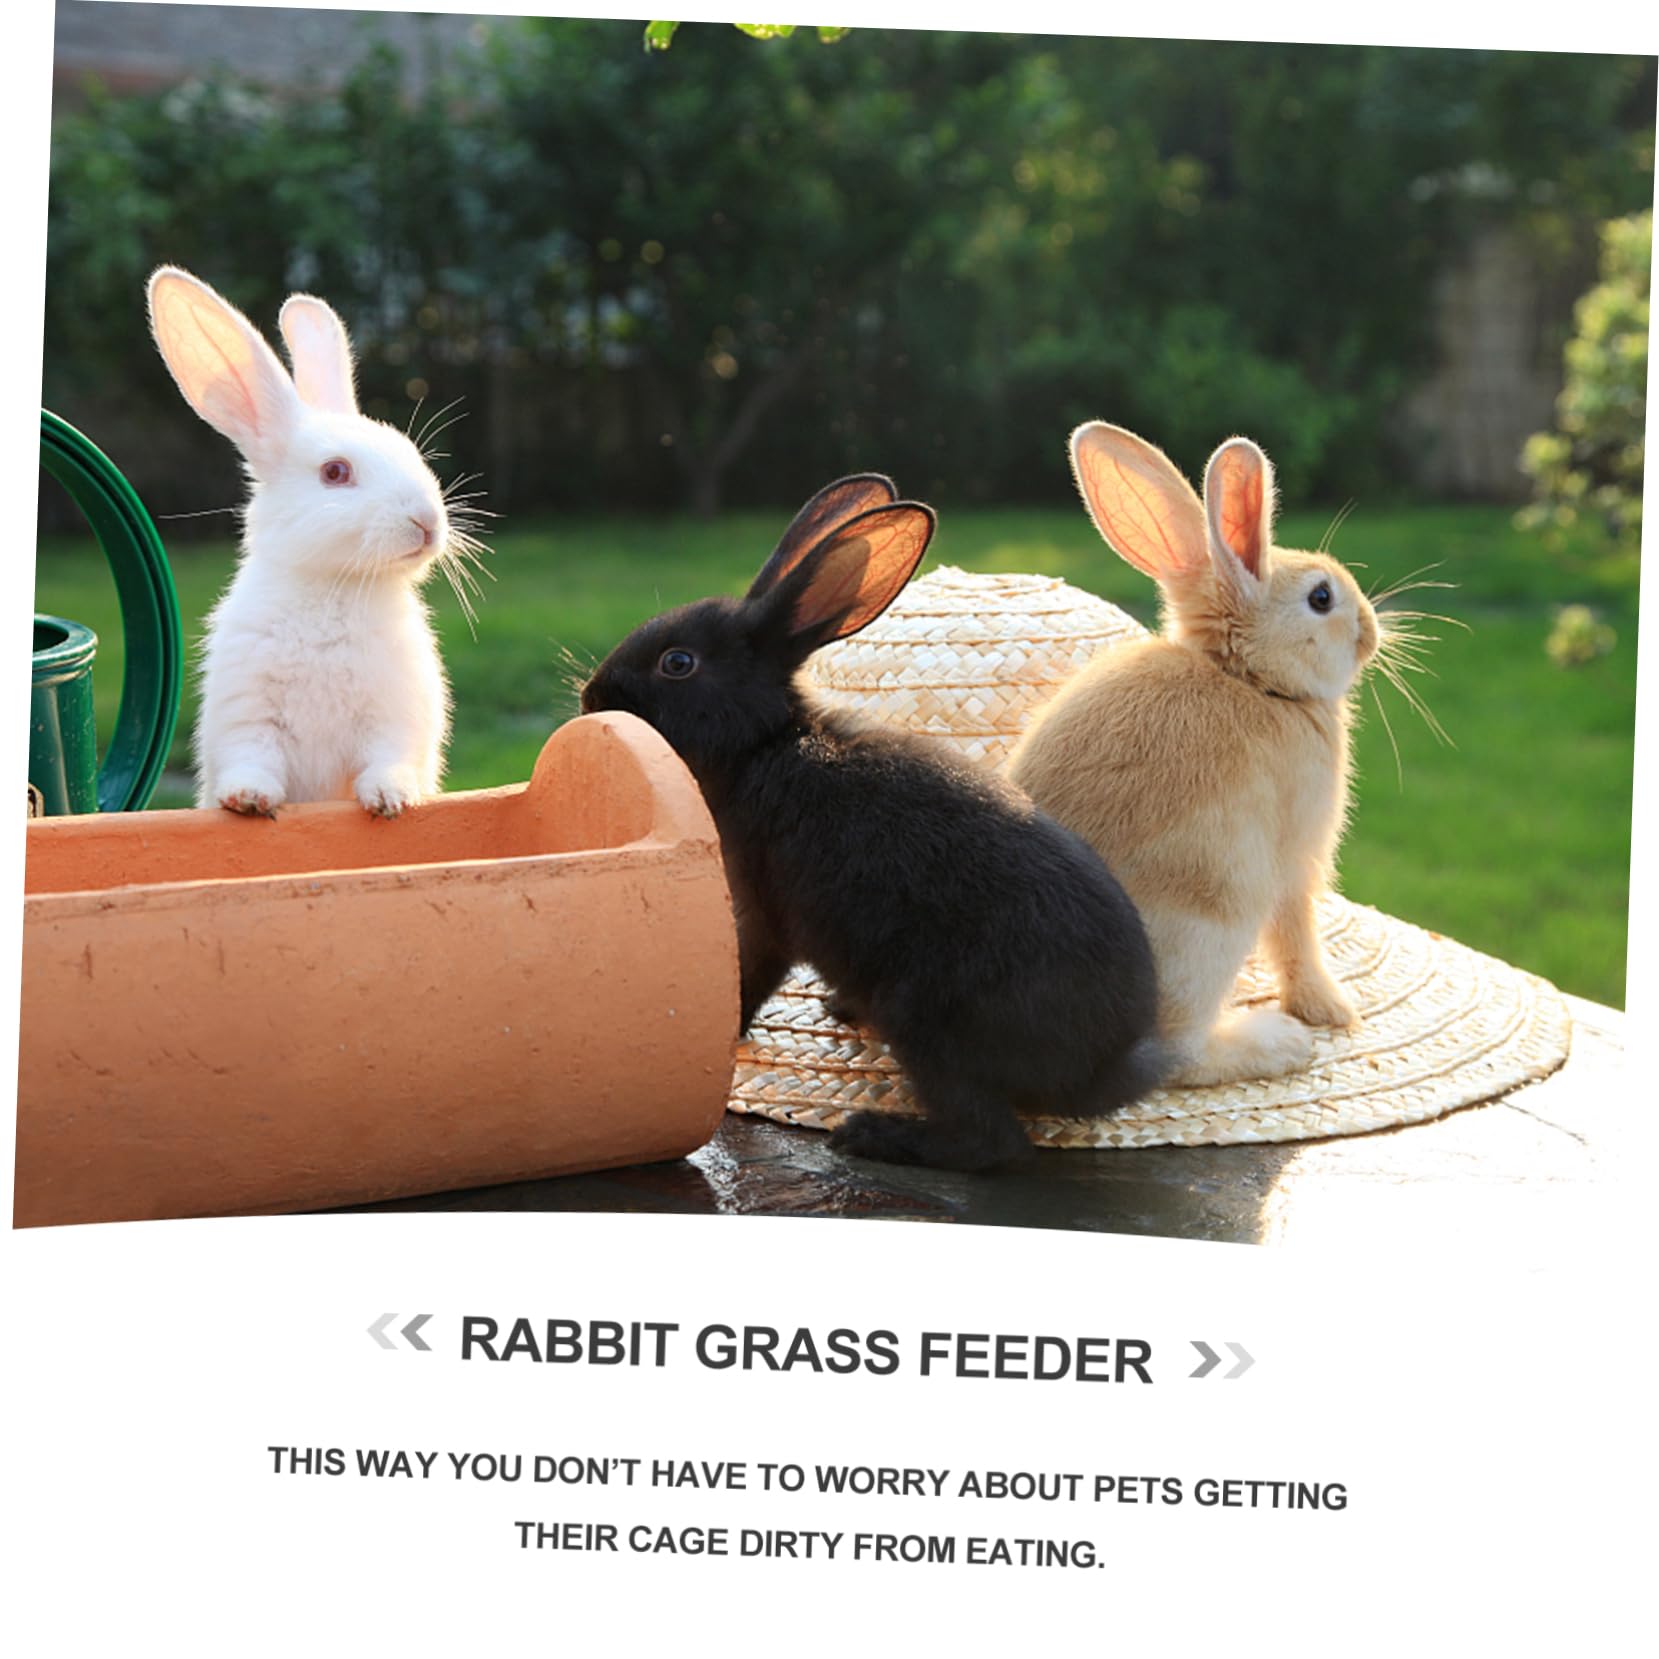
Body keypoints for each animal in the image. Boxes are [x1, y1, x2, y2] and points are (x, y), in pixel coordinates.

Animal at [147, 264, 466, 818]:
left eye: (409, 451)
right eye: (335, 472)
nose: (427, 521)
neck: (334, 589)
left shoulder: (395, 715)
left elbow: (388, 758)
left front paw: (391, 798)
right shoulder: (248, 714)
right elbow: (253, 758)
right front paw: (247, 799)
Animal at [579, 473, 1169, 1172]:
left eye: (677, 663)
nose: (590, 698)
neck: (764, 745)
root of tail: (1101, 1067)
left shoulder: (766, 916)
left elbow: (750, 979)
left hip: (926, 1018)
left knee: (992, 1144)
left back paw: (868, 1135)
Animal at [1005, 423, 1380, 1089]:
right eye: (1321, 597)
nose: (1372, 630)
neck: (1252, 681)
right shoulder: (1294, 863)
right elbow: (1297, 937)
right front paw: (1331, 1010)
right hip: (1212, 923)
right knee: (1175, 1055)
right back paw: (1276, 1044)